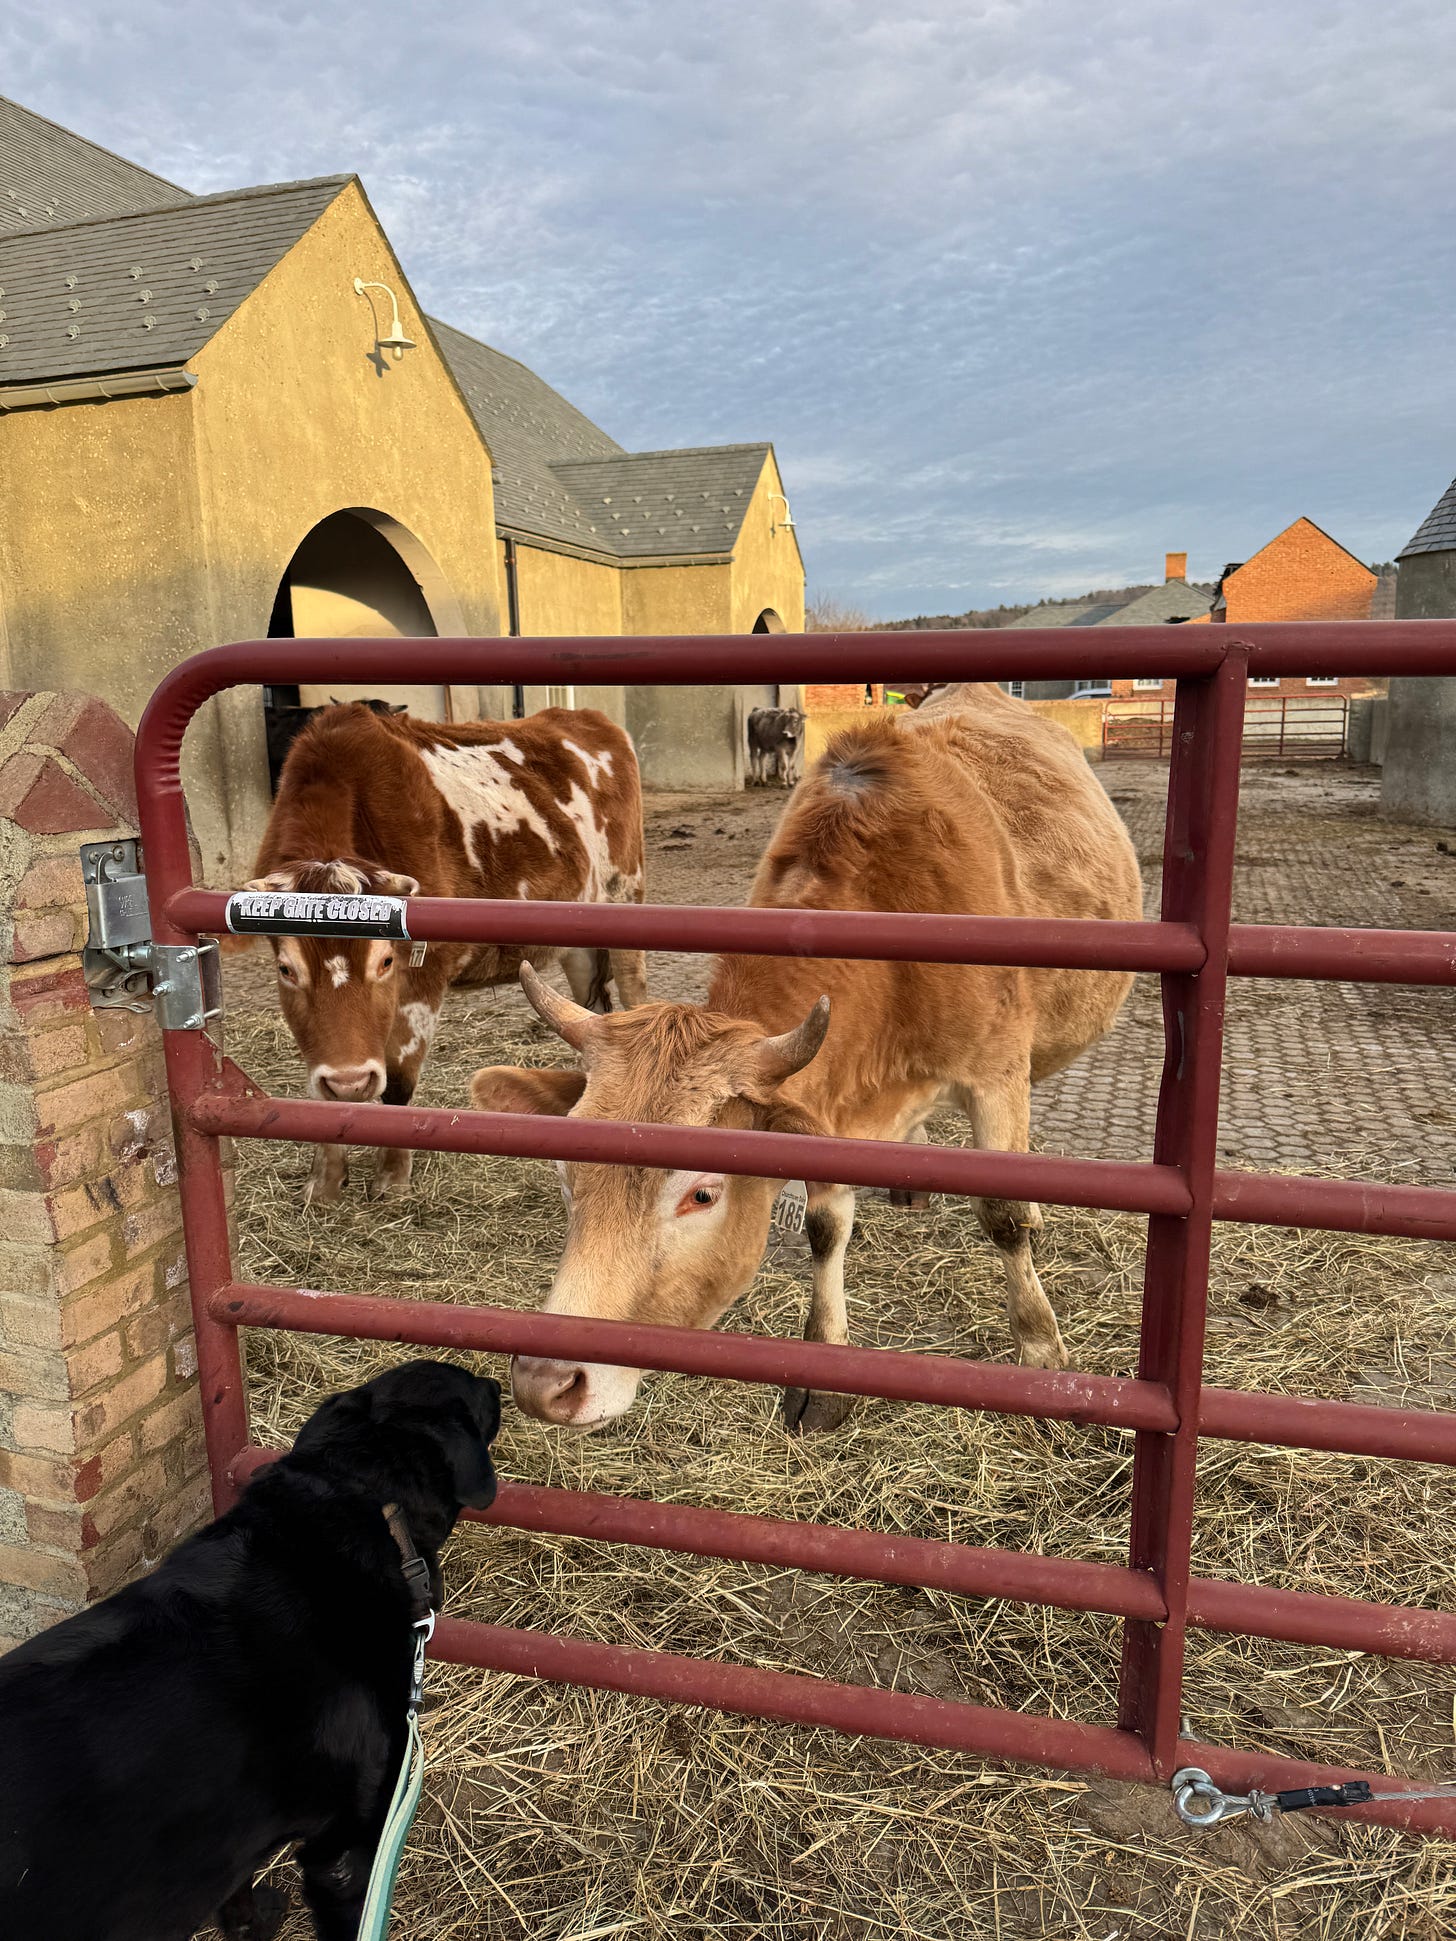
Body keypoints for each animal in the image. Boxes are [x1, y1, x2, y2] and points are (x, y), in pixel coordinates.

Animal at [248, 701, 649, 1206]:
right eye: (286, 969)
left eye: (385, 962)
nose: (351, 1082)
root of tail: (584, 718)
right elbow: (321, 1093)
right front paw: (324, 1182)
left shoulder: (424, 976)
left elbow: (399, 1079)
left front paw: (393, 1180)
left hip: (625, 894)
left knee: (633, 992)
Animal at [470, 683, 1142, 1434]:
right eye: (565, 1171)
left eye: (702, 1193)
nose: (547, 1380)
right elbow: (825, 1226)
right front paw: (824, 1368)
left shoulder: (995, 1076)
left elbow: (1002, 1214)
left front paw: (1043, 1355)